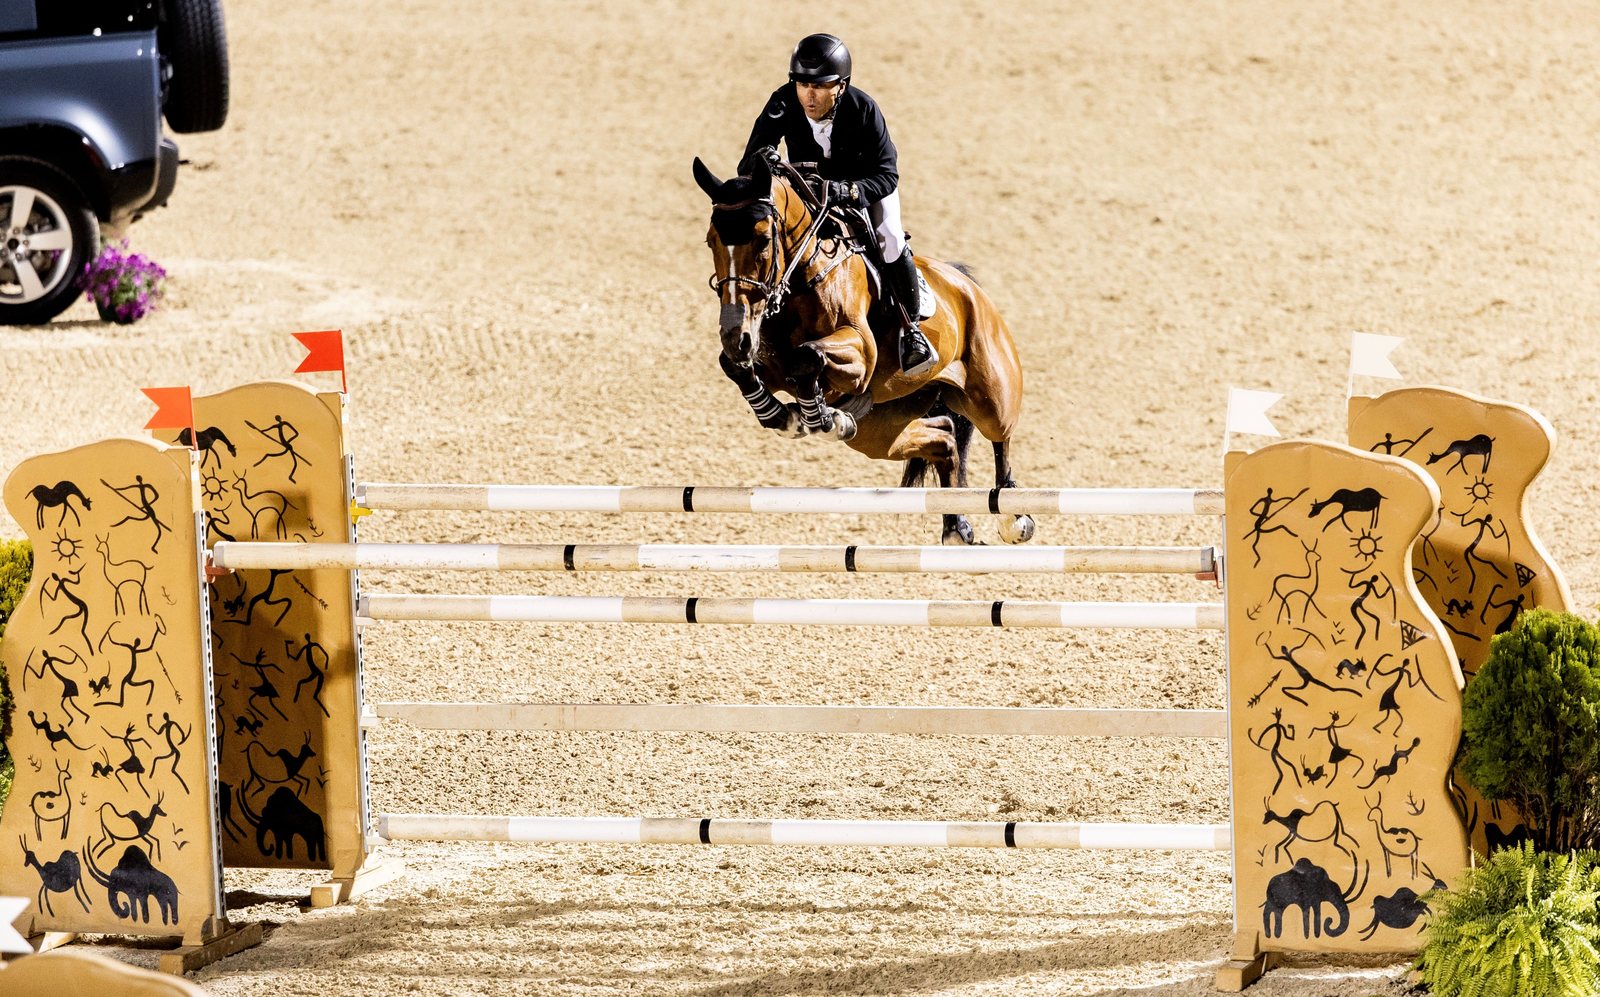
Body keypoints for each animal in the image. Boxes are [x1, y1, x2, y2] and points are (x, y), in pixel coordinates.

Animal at [692, 153, 1033, 545]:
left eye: (763, 240)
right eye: (711, 241)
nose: (737, 336)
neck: (803, 273)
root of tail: (967, 286)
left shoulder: (860, 355)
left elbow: (807, 356)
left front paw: (813, 415)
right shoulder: (767, 361)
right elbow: (739, 367)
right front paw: (783, 414)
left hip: (989, 397)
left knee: (1000, 437)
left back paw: (1014, 517)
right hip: (880, 432)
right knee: (944, 438)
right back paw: (955, 527)